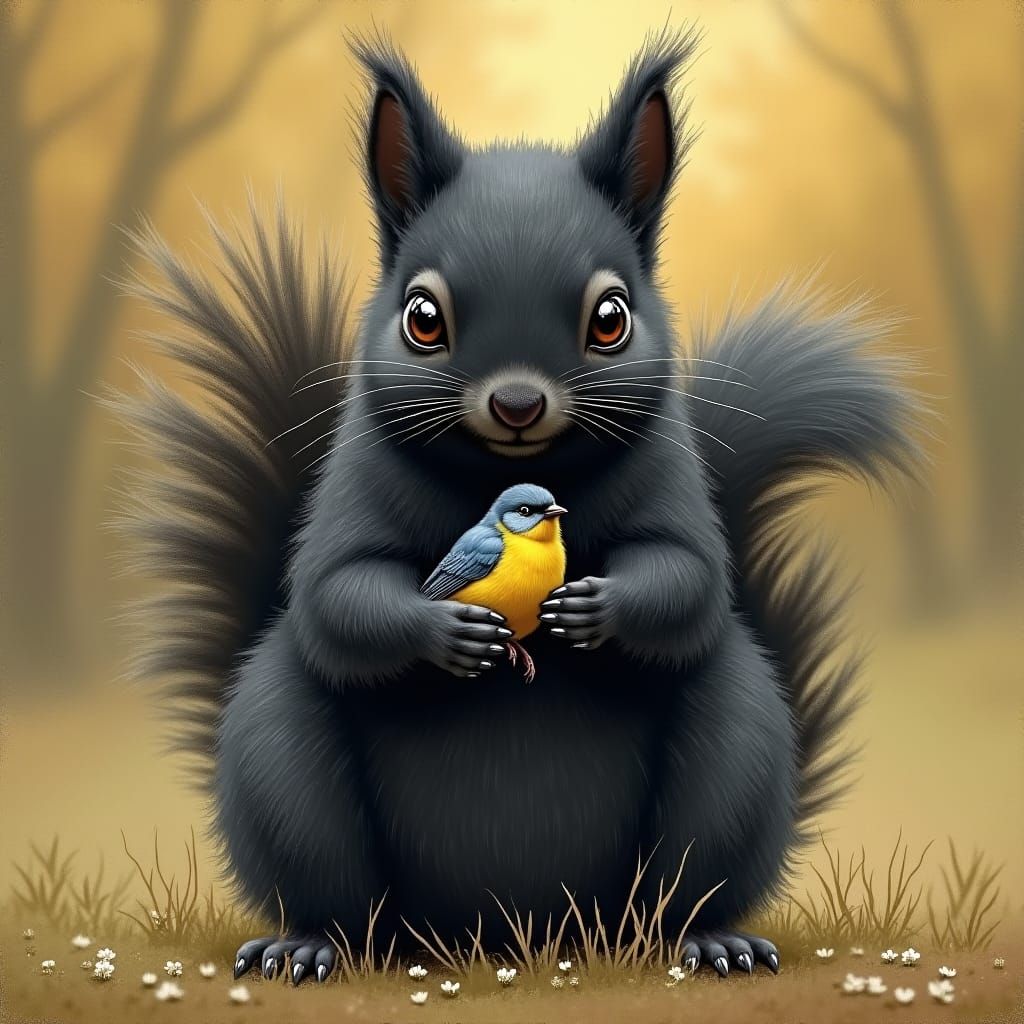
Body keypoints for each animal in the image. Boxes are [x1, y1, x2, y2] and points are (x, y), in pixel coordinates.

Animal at [113, 28, 921, 985]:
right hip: (283, 772)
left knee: (688, 879)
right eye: (421, 316)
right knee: (334, 890)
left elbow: (687, 577)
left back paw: (707, 938)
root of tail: (509, 933)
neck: (506, 500)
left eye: (612, 317)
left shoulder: (673, 483)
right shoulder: (351, 491)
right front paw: (447, 631)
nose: (518, 403)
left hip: (735, 760)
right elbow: (337, 595)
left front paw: (594, 607)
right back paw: (310, 945)